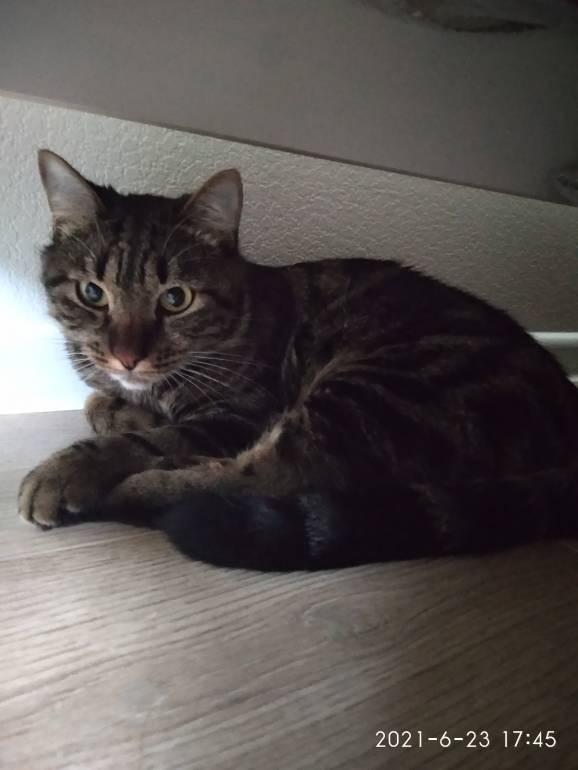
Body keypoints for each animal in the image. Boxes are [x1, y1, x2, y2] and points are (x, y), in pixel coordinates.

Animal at [18, 149, 578, 571]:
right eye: (93, 293)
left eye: (176, 299)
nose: (126, 356)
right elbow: (111, 406)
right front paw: (116, 406)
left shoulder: (241, 415)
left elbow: (146, 439)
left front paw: (68, 468)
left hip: (379, 385)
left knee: (280, 476)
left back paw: (135, 489)